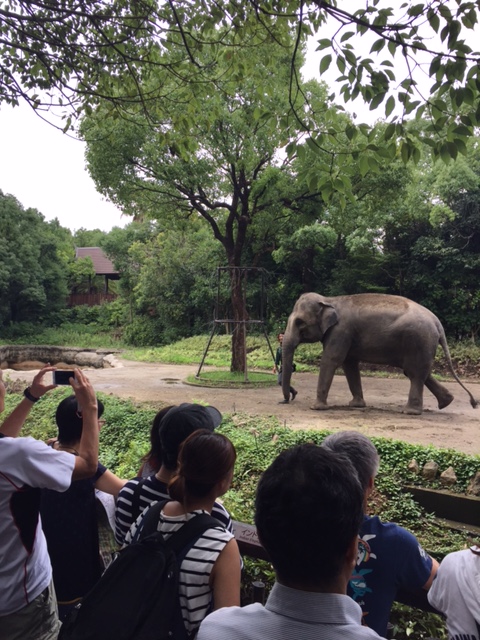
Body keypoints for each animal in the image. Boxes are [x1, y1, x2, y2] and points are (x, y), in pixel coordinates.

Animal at [280, 292, 478, 416]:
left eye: (299, 322)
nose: (288, 399)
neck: (330, 300)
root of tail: (437, 322)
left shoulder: (341, 331)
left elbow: (332, 360)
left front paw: (316, 408)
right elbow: (349, 364)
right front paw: (356, 405)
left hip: (419, 341)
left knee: (415, 373)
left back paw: (410, 412)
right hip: (423, 345)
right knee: (419, 372)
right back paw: (446, 402)